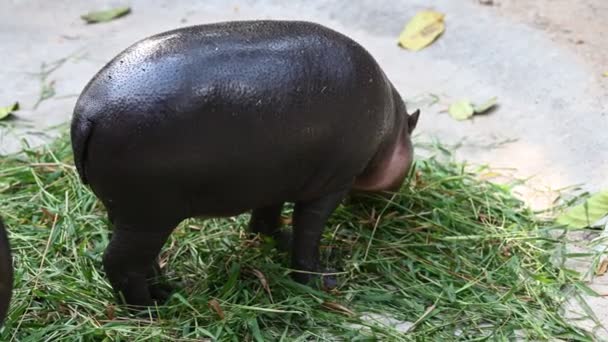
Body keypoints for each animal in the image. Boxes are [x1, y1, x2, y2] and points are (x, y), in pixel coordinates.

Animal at [71, 20, 420, 306]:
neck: (391, 129)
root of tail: (88, 114)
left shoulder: (278, 176)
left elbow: (268, 215)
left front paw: (279, 241)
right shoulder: (332, 184)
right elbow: (308, 233)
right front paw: (323, 281)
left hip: (131, 214)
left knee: (144, 259)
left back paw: (167, 291)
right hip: (149, 214)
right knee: (119, 262)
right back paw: (150, 310)